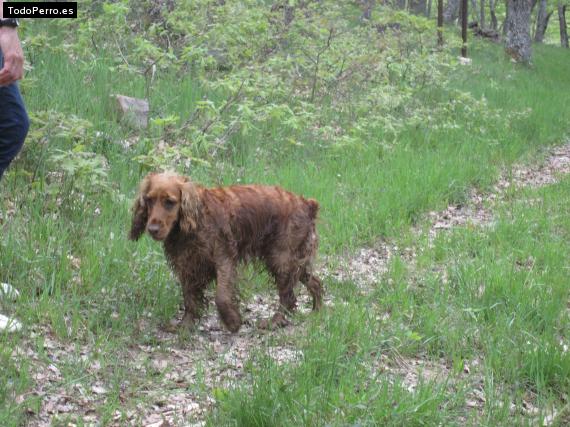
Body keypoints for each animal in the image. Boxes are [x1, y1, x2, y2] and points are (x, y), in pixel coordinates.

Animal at [130, 172, 322, 332]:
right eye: (149, 200)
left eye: (169, 202)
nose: (152, 229)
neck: (195, 222)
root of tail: (307, 204)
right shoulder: (188, 265)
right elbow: (189, 298)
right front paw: (186, 325)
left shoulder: (224, 259)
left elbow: (221, 297)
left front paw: (232, 321)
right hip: (292, 260)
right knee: (315, 282)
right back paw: (317, 312)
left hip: (281, 259)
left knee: (288, 296)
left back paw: (275, 322)